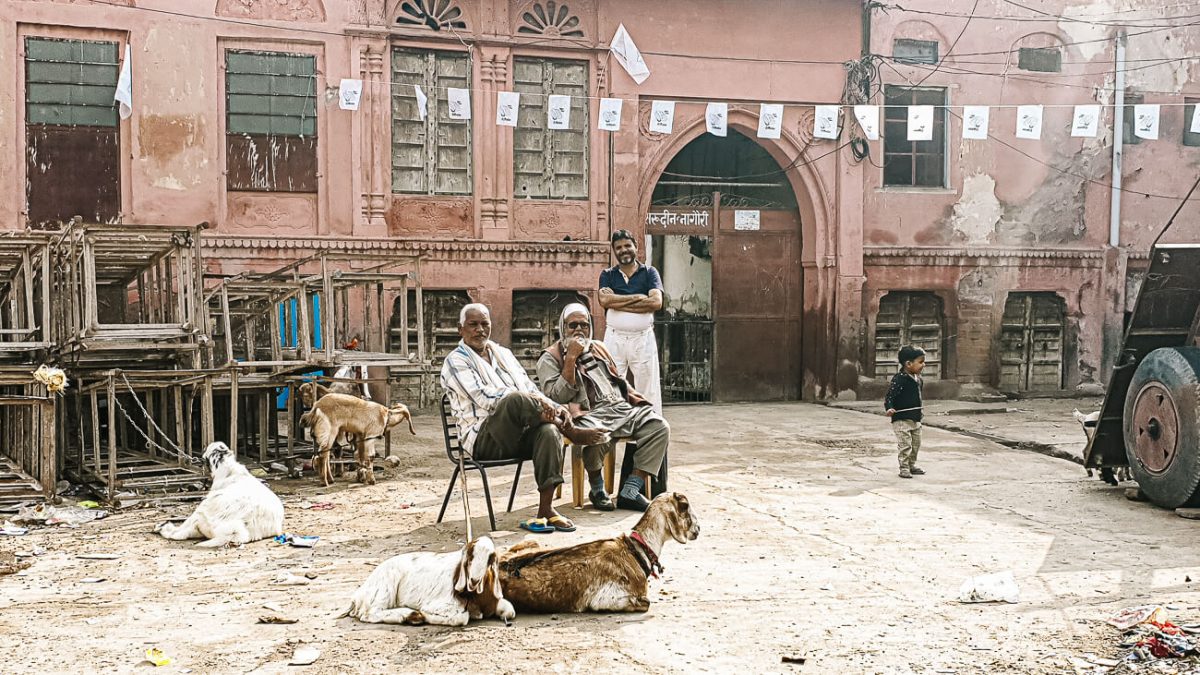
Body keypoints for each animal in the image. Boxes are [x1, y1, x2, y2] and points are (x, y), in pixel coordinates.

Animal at [345, 535, 518, 624]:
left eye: (490, 559)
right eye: (470, 558)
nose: (473, 581)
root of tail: (357, 596)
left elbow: (510, 611)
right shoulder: (439, 604)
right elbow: (461, 618)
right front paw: (425, 615)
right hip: (384, 588)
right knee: (369, 613)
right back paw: (412, 615)